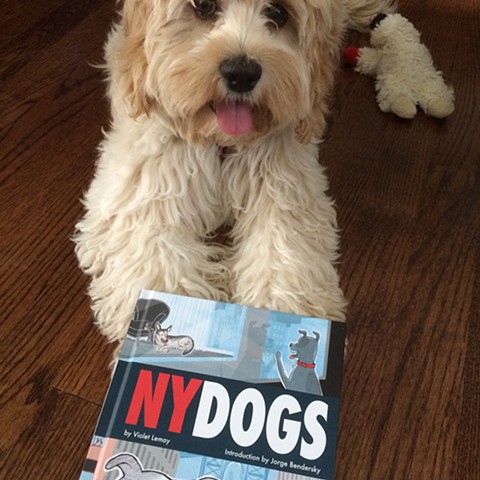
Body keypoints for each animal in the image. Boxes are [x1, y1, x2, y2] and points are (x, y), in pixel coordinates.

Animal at [74, 0, 394, 342]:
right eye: (203, 6)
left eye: (278, 13)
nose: (242, 73)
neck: (221, 144)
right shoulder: (142, 194)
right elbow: (158, 259)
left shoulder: (287, 190)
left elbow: (283, 248)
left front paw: (282, 317)